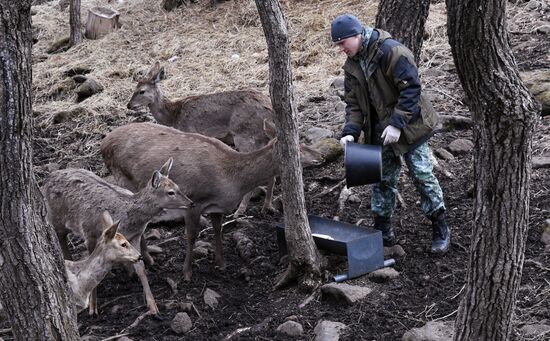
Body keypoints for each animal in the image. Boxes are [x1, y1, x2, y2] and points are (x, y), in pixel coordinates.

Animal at [41, 160, 193, 316]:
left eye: (177, 186)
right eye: (170, 192)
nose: (190, 203)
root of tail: (46, 180)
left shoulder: (135, 236)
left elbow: (141, 268)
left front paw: (153, 306)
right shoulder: (90, 234)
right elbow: (93, 262)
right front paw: (93, 307)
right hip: (55, 217)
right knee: (59, 238)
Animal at [100, 121, 324, 280]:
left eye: (302, 141)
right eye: (298, 148)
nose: (321, 156)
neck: (230, 180)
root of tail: (103, 144)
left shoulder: (217, 206)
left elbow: (218, 229)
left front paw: (221, 264)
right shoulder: (193, 200)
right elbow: (191, 235)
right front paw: (187, 273)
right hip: (124, 179)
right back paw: (146, 258)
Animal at [128, 61, 276, 215]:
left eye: (141, 91)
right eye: (135, 87)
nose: (129, 105)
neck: (173, 116)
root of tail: (270, 110)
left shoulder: (189, 132)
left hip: (245, 136)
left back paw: (240, 210)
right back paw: (267, 206)